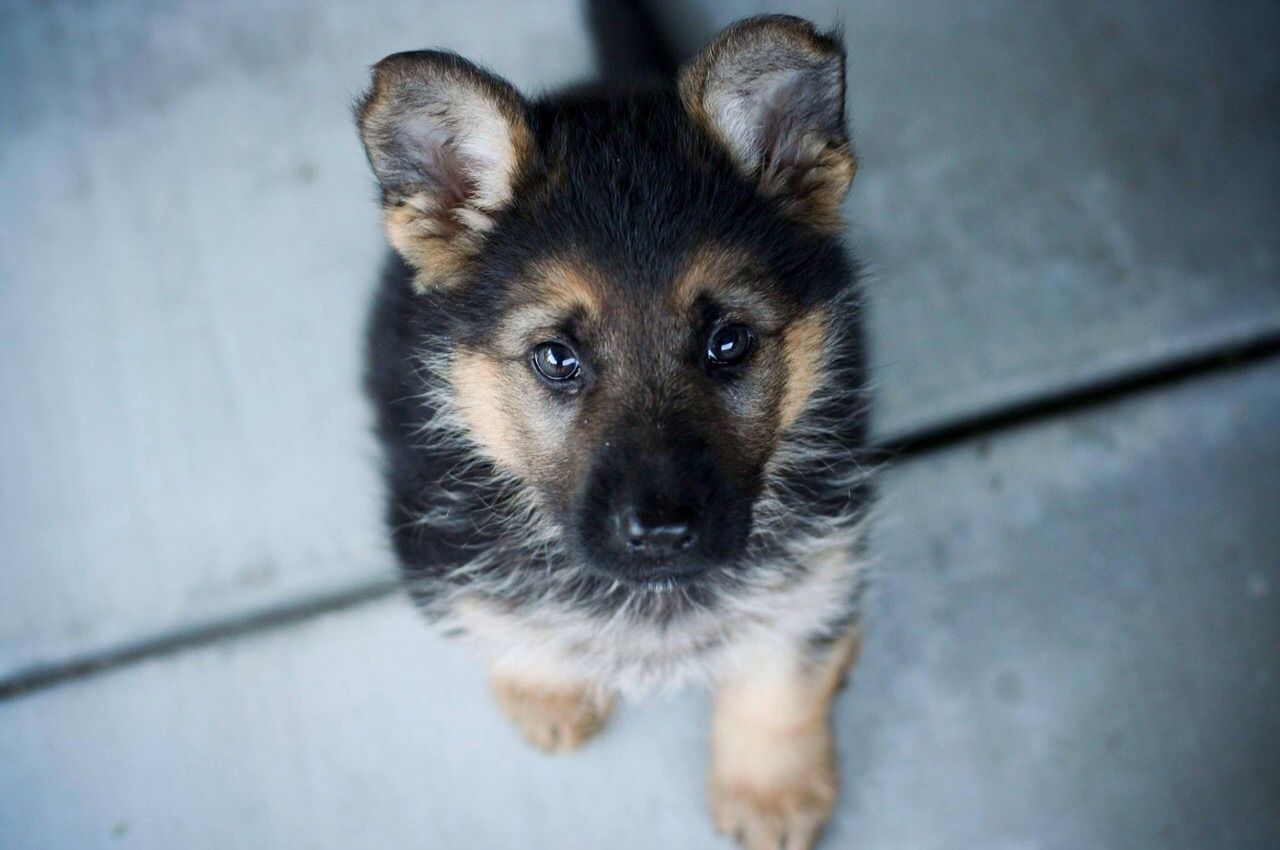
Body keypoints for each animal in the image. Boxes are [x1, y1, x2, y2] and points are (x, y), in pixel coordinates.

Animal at [360, 14, 875, 850]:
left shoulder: (820, 546)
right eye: (556, 358)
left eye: (728, 342)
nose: (662, 533)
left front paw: (771, 789)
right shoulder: (437, 546)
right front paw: (547, 693)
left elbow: (782, 672)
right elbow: (509, 626)